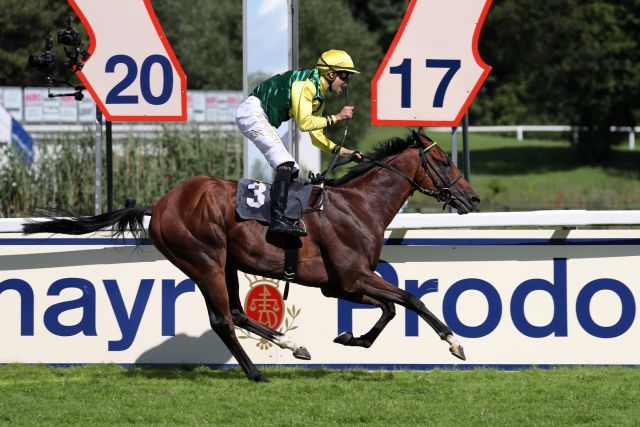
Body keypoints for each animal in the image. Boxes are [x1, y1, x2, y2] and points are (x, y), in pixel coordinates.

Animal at [21, 129, 480, 382]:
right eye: (443, 160)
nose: (472, 198)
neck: (359, 205)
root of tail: (161, 204)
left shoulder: (340, 285)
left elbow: (390, 307)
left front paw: (352, 338)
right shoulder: (351, 277)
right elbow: (411, 299)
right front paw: (455, 343)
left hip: (225, 263)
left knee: (239, 313)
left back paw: (292, 345)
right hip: (204, 260)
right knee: (223, 319)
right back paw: (256, 372)